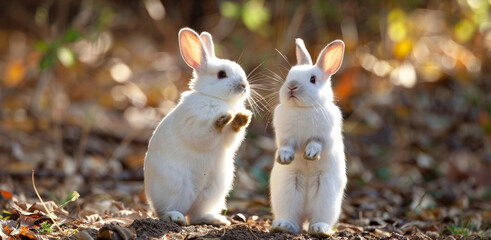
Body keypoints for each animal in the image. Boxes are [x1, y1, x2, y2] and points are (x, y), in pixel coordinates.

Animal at [142, 28, 250, 227]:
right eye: (221, 74)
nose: (244, 85)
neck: (215, 98)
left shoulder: (228, 140)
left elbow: (231, 137)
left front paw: (240, 118)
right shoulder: (192, 123)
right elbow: (204, 134)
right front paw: (222, 119)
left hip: (214, 190)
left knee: (197, 215)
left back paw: (217, 220)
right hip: (176, 186)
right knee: (166, 211)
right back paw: (175, 217)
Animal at [270, 38, 350, 235]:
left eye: (313, 79)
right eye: (289, 74)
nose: (291, 86)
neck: (303, 109)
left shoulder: (324, 136)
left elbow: (316, 143)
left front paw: (311, 154)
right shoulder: (285, 136)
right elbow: (286, 146)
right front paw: (285, 157)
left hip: (326, 194)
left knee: (319, 218)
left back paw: (319, 229)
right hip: (288, 190)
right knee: (294, 219)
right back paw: (284, 226)